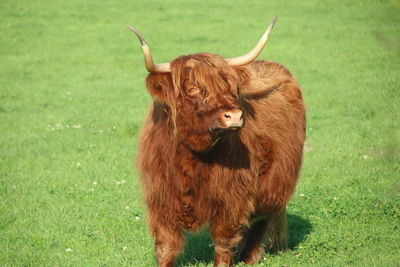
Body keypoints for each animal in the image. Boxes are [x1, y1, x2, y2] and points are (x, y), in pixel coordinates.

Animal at [128, 17, 306, 266]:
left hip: (276, 181)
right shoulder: (161, 197)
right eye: (192, 88)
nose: (235, 115)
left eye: (229, 87)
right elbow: (166, 245)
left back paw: (249, 257)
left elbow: (223, 241)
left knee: (260, 222)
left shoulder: (231, 197)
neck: (190, 156)